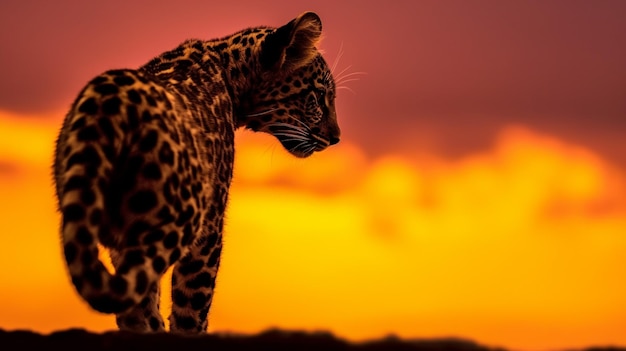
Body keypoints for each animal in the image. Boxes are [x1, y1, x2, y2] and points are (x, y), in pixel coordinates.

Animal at [52, 11, 336, 334]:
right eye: (319, 97)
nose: (336, 138)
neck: (228, 68)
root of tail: (109, 104)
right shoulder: (209, 232)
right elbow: (192, 310)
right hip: (175, 223)